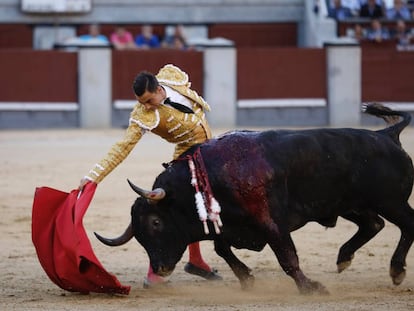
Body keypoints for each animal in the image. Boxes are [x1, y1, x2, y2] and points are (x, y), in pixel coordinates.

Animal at [95, 104, 414, 294]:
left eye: (156, 222)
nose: (159, 268)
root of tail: (386, 135)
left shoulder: (269, 221)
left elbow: (287, 257)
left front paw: (310, 287)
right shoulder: (227, 224)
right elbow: (223, 249)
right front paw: (247, 279)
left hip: (391, 202)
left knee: (406, 225)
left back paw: (396, 270)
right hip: (351, 205)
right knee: (373, 225)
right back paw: (344, 258)